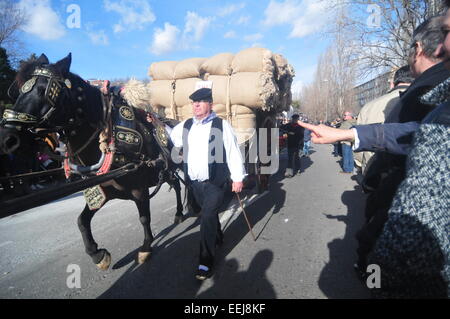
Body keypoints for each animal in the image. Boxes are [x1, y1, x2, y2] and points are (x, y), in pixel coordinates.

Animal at [0, 54, 186, 270]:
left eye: (44, 90)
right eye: (18, 92)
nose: (7, 138)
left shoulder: (139, 189)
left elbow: (143, 217)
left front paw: (145, 248)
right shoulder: (103, 192)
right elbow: (82, 220)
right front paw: (98, 254)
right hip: (166, 171)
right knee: (176, 183)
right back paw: (180, 212)